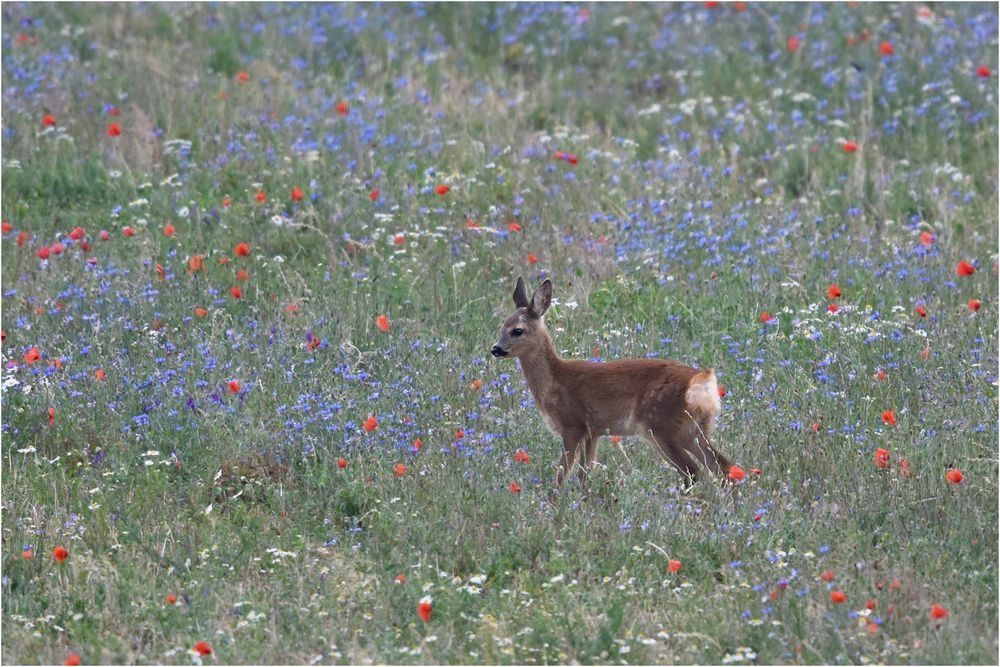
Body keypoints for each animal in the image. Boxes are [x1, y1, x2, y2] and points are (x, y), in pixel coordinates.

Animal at [492, 276, 736, 490]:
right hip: (693, 429)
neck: (554, 381)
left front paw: (554, 506)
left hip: (659, 424)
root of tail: (701, 380)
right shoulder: (593, 432)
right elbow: (584, 475)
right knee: (724, 467)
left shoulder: (573, 424)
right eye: (501, 327)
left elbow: (561, 475)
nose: (495, 349)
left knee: (692, 470)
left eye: (517, 331)